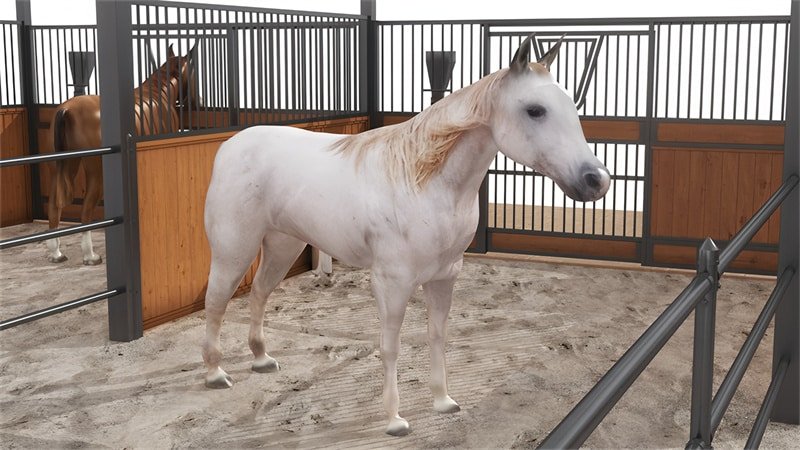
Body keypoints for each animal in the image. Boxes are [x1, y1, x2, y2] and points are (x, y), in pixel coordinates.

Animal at [46, 44, 200, 264]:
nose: (196, 101)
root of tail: (67, 110)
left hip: (64, 165)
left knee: (53, 205)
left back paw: (56, 253)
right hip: (96, 172)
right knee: (86, 209)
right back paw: (90, 256)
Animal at [202, 34, 610, 436]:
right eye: (535, 110)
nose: (598, 180)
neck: (423, 183)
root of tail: (231, 145)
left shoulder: (444, 277)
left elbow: (436, 336)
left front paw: (443, 401)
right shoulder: (392, 282)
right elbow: (390, 347)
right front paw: (395, 420)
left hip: (283, 245)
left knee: (258, 293)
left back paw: (261, 359)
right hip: (234, 250)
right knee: (217, 302)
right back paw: (215, 373)